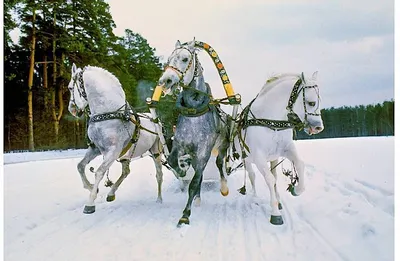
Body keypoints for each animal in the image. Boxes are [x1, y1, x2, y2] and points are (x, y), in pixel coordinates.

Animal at [68, 63, 165, 213]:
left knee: (159, 174)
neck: (108, 114)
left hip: (156, 151)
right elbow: (80, 166)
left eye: (70, 88)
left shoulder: (113, 151)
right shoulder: (96, 148)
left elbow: (99, 172)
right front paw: (91, 188)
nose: (71, 109)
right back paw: (111, 193)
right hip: (126, 155)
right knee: (126, 172)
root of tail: (155, 120)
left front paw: (90, 203)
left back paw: (159, 199)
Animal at [158, 38, 230, 225]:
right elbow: (173, 161)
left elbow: (195, 181)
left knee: (219, 164)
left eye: (184, 59)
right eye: (169, 59)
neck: (194, 112)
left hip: (222, 146)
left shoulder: (204, 151)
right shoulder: (180, 144)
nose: (165, 80)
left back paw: (223, 187)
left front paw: (185, 214)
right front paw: (182, 170)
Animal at [234, 72, 324, 224]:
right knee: (252, 176)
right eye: (311, 102)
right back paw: (255, 197)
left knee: (274, 176)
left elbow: (299, 165)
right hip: (247, 159)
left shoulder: (286, 149)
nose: (319, 127)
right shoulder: (259, 156)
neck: (271, 120)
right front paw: (275, 213)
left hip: (273, 158)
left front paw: (296, 189)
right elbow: (269, 179)